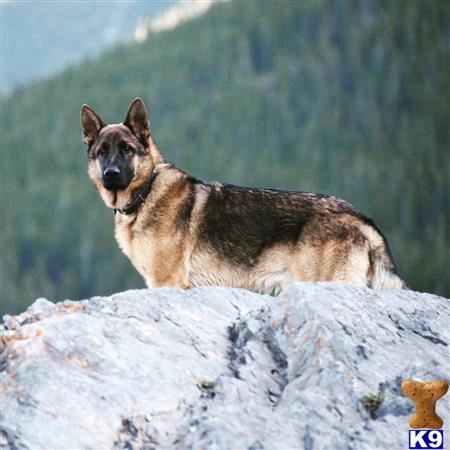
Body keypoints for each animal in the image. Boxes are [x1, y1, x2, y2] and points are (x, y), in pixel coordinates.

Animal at [81, 98, 404, 294]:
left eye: (126, 149)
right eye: (102, 151)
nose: (110, 174)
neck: (147, 191)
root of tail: (360, 218)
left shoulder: (167, 282)